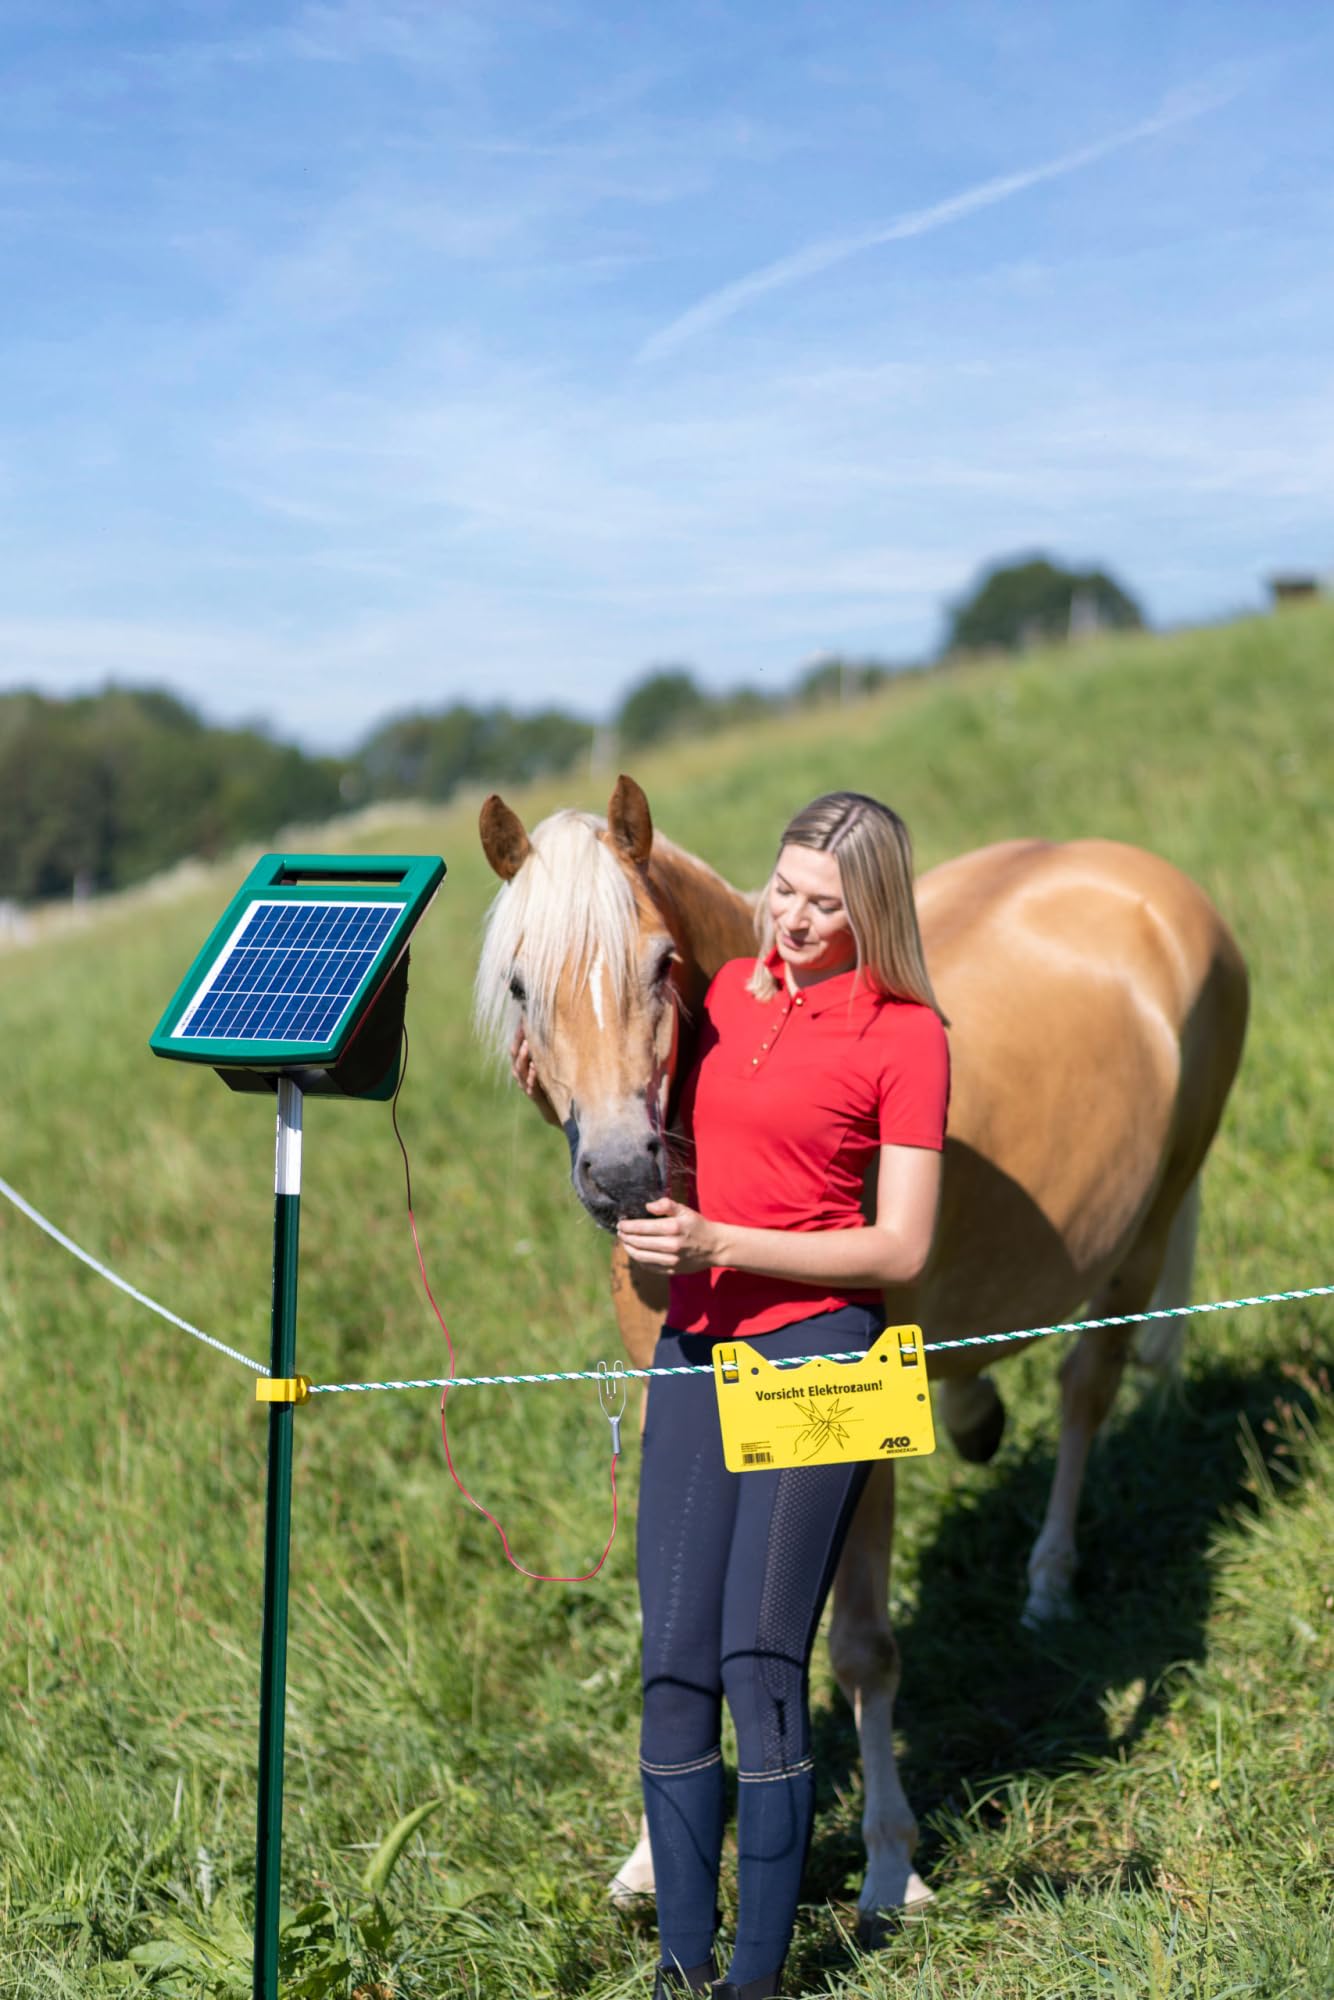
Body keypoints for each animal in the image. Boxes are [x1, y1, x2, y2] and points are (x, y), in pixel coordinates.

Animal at [474, 775, 1248, 1928]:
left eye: (659, 964)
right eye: (522, 985)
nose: (620, 1174)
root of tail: (1148, 881)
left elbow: (863, 1651)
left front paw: (892, 1866)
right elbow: (679, 1633)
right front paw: (651, 1862)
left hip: (1146, 1227)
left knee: (1085, 1389)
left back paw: (1047, 1582)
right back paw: (974, 1419)